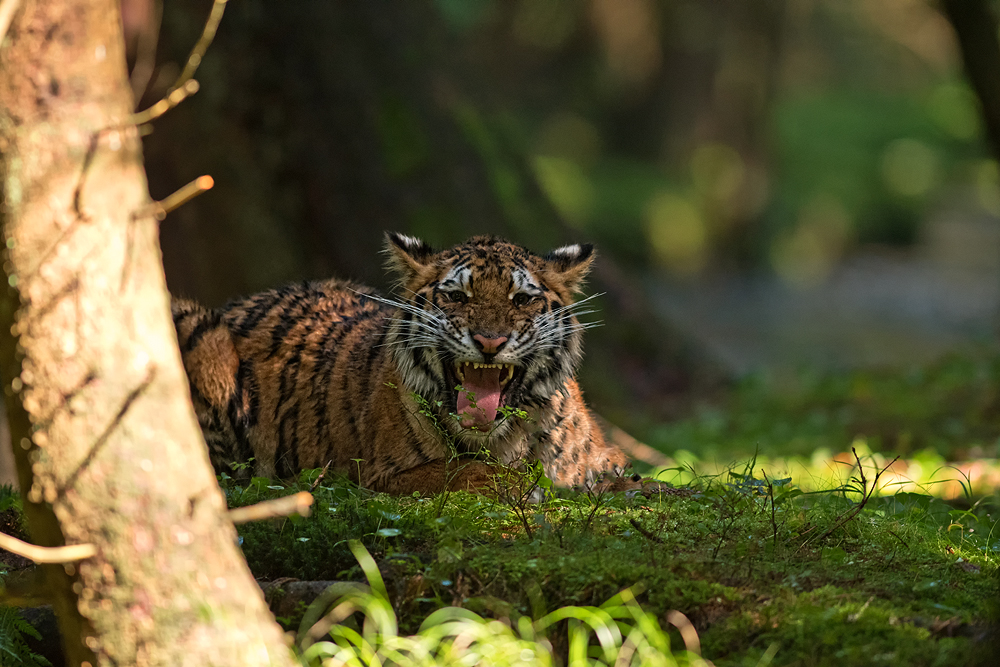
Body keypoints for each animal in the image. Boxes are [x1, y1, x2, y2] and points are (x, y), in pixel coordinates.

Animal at [172, 233, 637, 495]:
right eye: (456, 296)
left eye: (521, 299)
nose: (489, 341)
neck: (506, 438)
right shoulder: (380, 474)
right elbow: (461, 469)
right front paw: (522, 485)